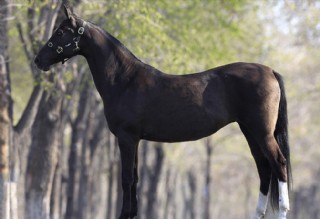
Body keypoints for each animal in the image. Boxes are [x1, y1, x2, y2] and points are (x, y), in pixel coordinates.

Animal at [35, 5, 292, 219]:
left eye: (60, 32)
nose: (38, 60)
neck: (125, 79)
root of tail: (269, 70)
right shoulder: (135, 139)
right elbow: (135, 179)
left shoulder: (127, 138)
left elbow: (126, 179)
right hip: (250, 131)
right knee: (263, 167)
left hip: (261, 132)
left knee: (278, 164)